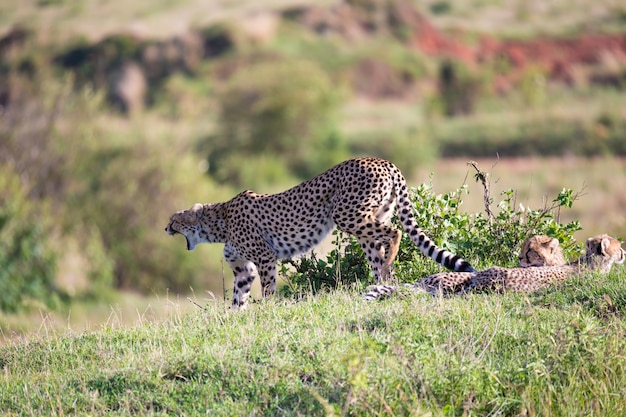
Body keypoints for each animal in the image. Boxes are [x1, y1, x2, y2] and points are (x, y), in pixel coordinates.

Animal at [163, 158, 470, 308]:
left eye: (174, 219)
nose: (165, 228)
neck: (221, 221)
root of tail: (381, 160)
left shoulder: (265, 258)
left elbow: (268, 289)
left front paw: (267, 312)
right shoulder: (244, 269)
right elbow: (239, 297)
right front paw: (235, 318)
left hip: (346, 214)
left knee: (394, 232)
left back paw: (388, 267)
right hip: (369, 219)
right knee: (379, 250)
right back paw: (381, 282)